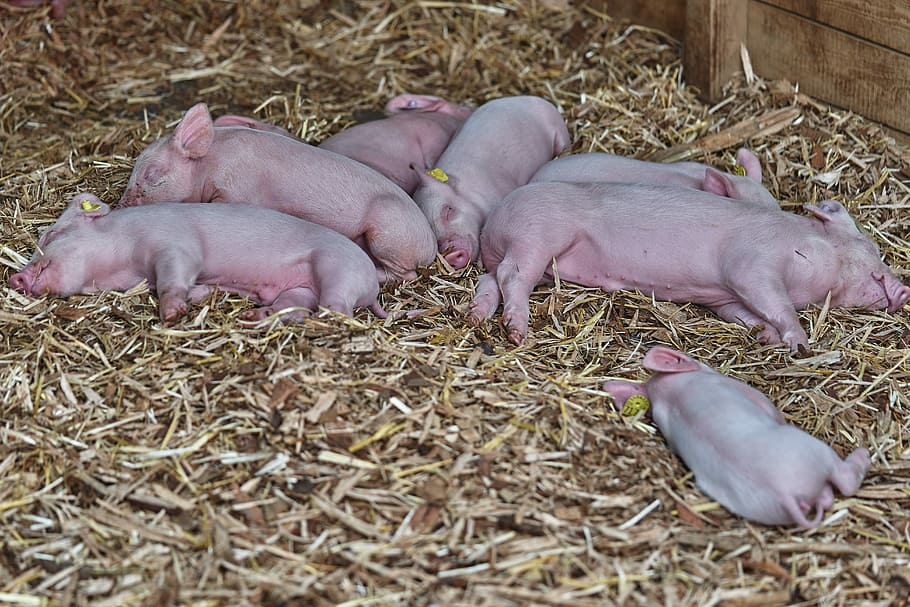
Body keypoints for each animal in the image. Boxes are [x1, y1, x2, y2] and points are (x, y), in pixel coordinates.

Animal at [9, 192, 386, 322]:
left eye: (50, 236)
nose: (15, 277)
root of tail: (372, 286)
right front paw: (198, 297)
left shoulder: (176, 244)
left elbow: (176, 275)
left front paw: (173, 313)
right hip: (300, 289)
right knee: (293, 308)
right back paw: (254, 316)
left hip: (336, 268)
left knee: (337, 309)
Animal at [119, 102, 437, 283]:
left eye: (151, 174)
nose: (120, 205)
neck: (211, 163)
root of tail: (431, 245)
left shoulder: (239, 190)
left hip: (388, 232)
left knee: (404, 274)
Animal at [411, 95, 571, 269]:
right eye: (432, 232)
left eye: (449, 210)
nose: (451, 255)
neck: (469, 193)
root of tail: (525, 97)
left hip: (558, 127)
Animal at [469, 181, 910, 348]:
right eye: (868, 245)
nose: (903, 288)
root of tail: (494, 222)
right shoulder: (751, 263)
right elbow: (776, 301)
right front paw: (799, 342)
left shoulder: (726, 299)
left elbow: (747, 315)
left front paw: (765, 336)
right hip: (539, 235)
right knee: (512, 275)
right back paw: (517, 334)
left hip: (533, 258)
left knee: (492, 279)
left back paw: (477, 317)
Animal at [603, 346, 871, 528]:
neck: (672, 394)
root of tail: (785, 493)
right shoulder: (745, 392)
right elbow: (768, 407)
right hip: (816, 451)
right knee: (845, 482)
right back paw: (863, 455)